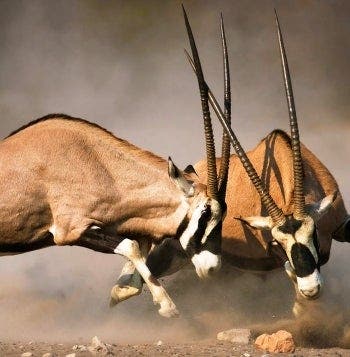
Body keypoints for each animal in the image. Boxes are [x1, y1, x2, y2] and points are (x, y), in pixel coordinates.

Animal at [0, 106, 230, 318]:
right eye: (205, 213)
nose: (213, 268)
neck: (98, 164)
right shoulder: (69, 232)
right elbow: (132, 247)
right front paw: (167, 306)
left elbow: (139, 256)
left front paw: (119, 292)